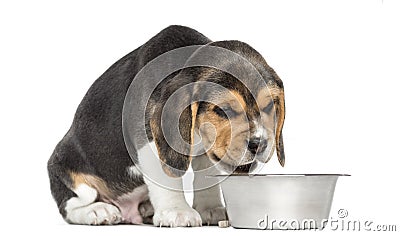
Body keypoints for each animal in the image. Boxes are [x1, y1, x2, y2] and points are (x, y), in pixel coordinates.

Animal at [47, 25, 284, 227]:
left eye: (269, 106)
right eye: (223, 110)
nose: (259, 144)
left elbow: (205, 177)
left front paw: (210, 209)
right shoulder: (149, 139)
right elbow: (167, 179)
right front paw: (177, 212)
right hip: (68, 171)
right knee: (71, 206)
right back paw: (98, 211)